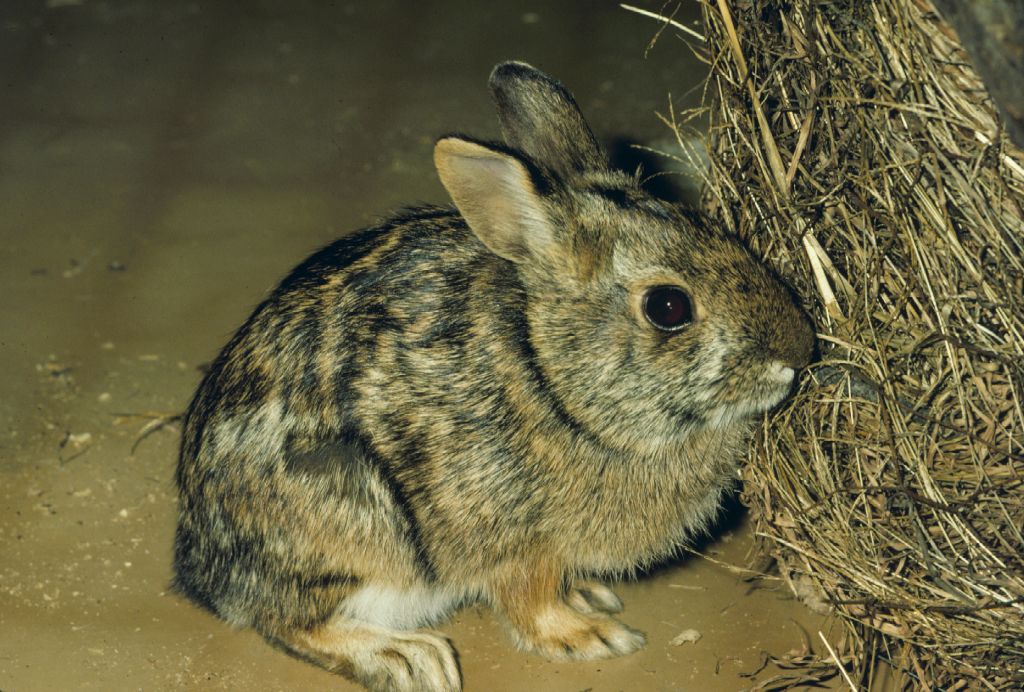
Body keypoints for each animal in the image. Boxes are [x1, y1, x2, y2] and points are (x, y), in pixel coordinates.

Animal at [174, 60, 815, 692]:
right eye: (668, 307)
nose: (799, 351)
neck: (551, 378)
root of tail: (200, 566)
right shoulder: (516, 542)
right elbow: (528, 600)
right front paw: (590, 636)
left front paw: (590, 600)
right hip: (357, 528)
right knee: (291, 620)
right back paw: (408, 657)